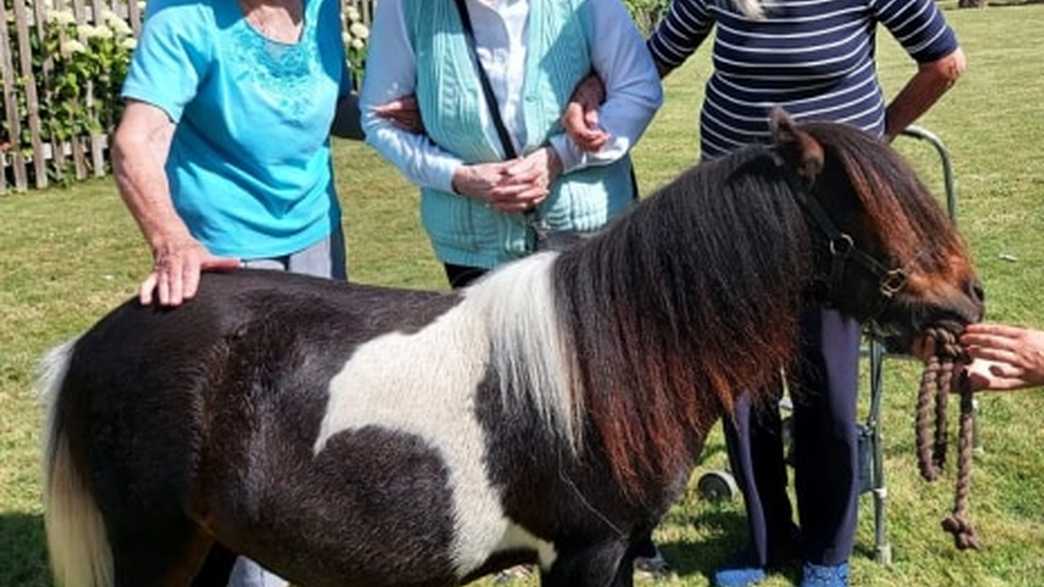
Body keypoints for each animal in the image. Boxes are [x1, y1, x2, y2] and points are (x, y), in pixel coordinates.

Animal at [40, 111, 981, 580]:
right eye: (874, 215)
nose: (968, 303)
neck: (613, 353)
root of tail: (89, 346)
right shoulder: (585, 550)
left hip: (204, 544)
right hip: (158, 544)